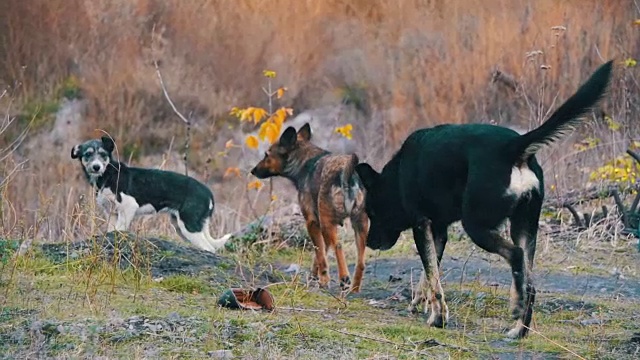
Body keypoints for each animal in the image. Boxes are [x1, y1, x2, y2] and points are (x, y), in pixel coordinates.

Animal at [72, 136, 230, 253]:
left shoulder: (128, 207)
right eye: (87, 154)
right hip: (181, 227)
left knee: (209, 248)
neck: (108, 175)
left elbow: (120, 229)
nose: (96, 167)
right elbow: (112, 230)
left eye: (103, 155)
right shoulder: (111, 213)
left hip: (189, 226)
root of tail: (208, 193)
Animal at [251, 124, 370, 292]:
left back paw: (344, 278)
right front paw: (315, 276)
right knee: (361, 262)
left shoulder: (312, 222)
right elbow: (320, 253)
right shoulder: (321, 226)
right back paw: (354, 288)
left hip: (329, 225)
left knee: (339, 247)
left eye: (266, 154)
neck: (304, 161)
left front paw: (324, 280)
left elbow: (320, 255)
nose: (253, 170)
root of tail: (348, 176)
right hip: (360, 226)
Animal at [356, 60, 616, 338]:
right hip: (524, 227)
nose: (369, 243)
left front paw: (438, 318)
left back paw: (516, 308)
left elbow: (432, 275)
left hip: (477, 226)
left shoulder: (421, 224)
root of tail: (514, 147)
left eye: (372, 212)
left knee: (515, 256)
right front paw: (421, 303)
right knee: (529, 281)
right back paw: (519, 328)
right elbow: (430, 274)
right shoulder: (438, 231)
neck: (398, 174)